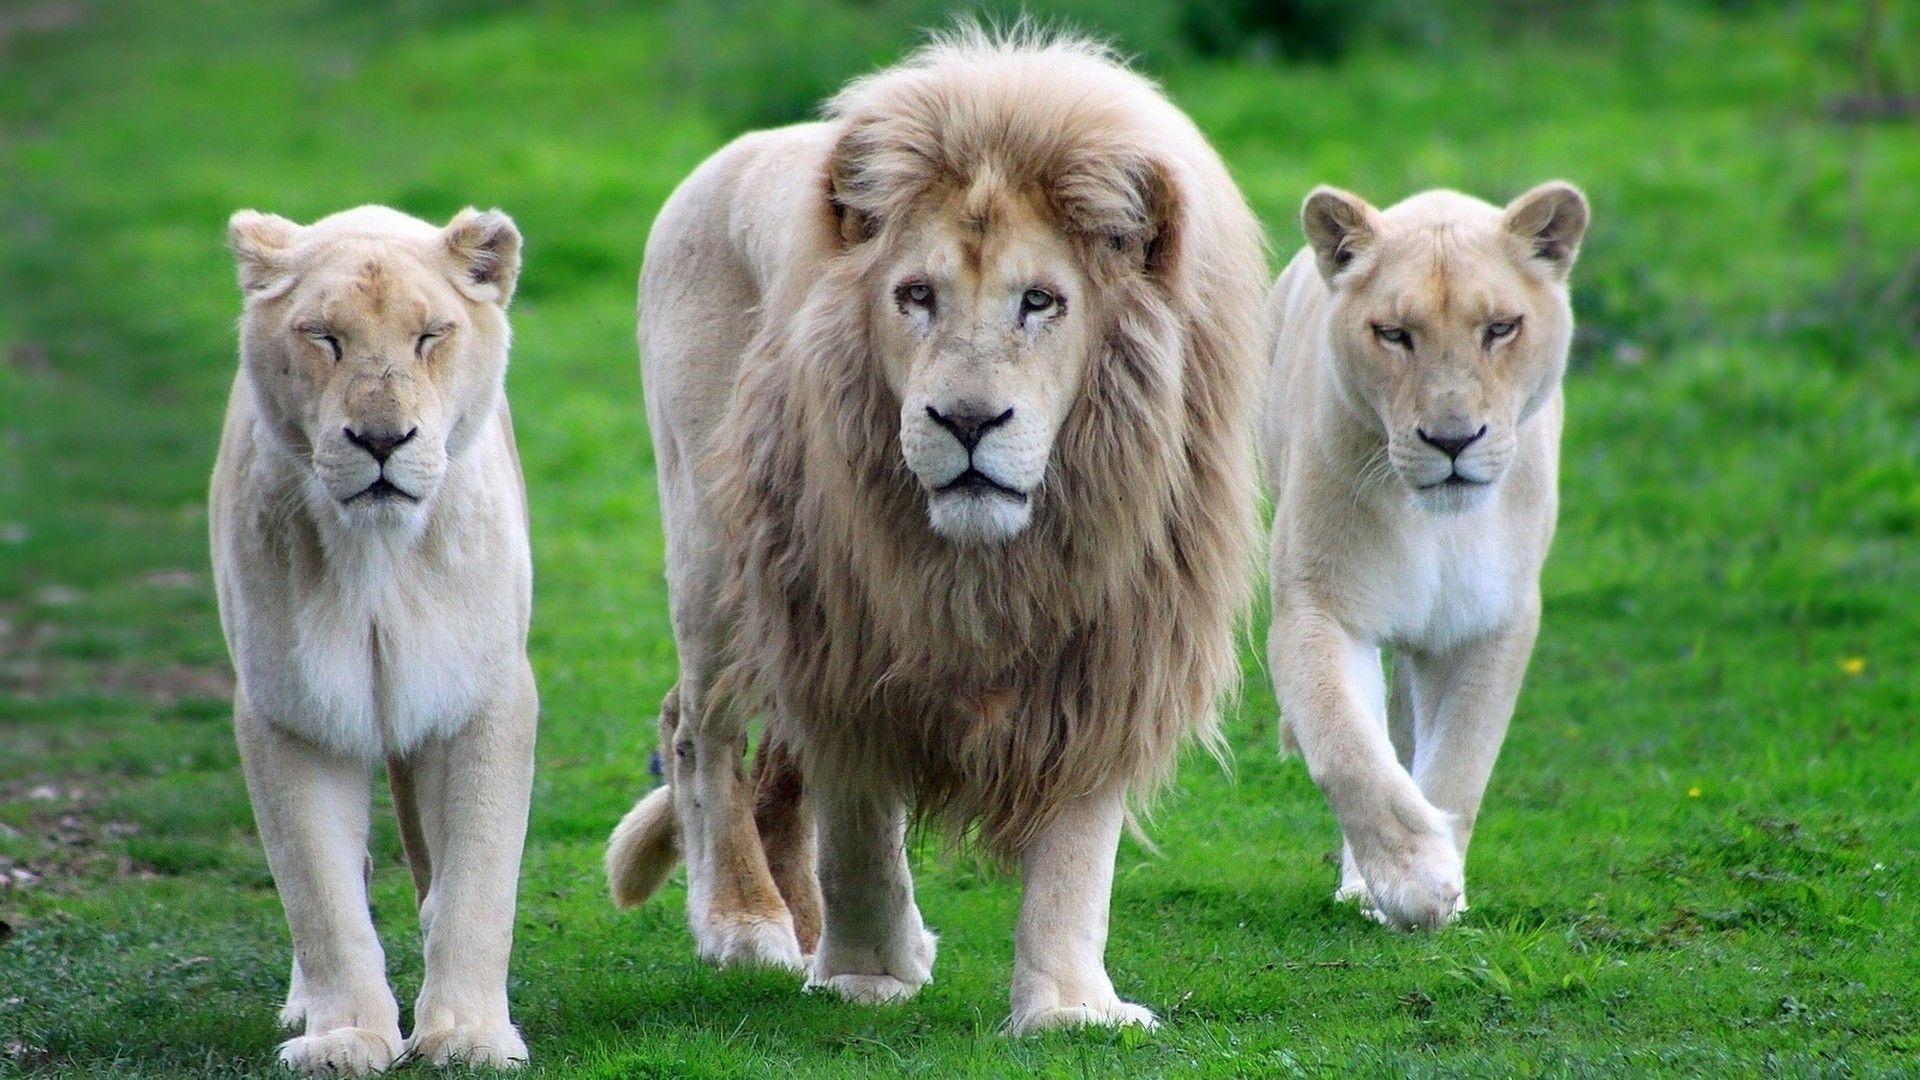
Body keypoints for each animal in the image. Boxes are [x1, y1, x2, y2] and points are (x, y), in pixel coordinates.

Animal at [211, 205, 536, 1073]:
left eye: (430, 336)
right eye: (324, 338)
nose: (382, 440)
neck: (379, 557)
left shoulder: (482, 698)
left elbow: (477, 880)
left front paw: (468, 1034)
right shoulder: (289, 711)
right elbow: (319, 893)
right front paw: (346, 1036)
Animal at [605, 32, 1266, 1032]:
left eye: (1041, 301)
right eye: (915, 295)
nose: (966, 421)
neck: (991, 563)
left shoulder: (1112, 647)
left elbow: (1077, 851)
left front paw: (1069, 1008)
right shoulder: (842, 634)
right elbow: (860, 829)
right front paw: (867, 976)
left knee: (774, 767)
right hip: (717, 551)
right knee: (700, 732)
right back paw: (747, 923)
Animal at [1261, 182, 1590, 930]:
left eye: (1500, 327)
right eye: (1393, 333)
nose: (1452, 440)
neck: (1436, 526)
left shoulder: (1490, 622)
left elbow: (1461, 763)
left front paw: (1443, 884)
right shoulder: (1318, 607)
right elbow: (1348, 749)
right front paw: (1414, 881)